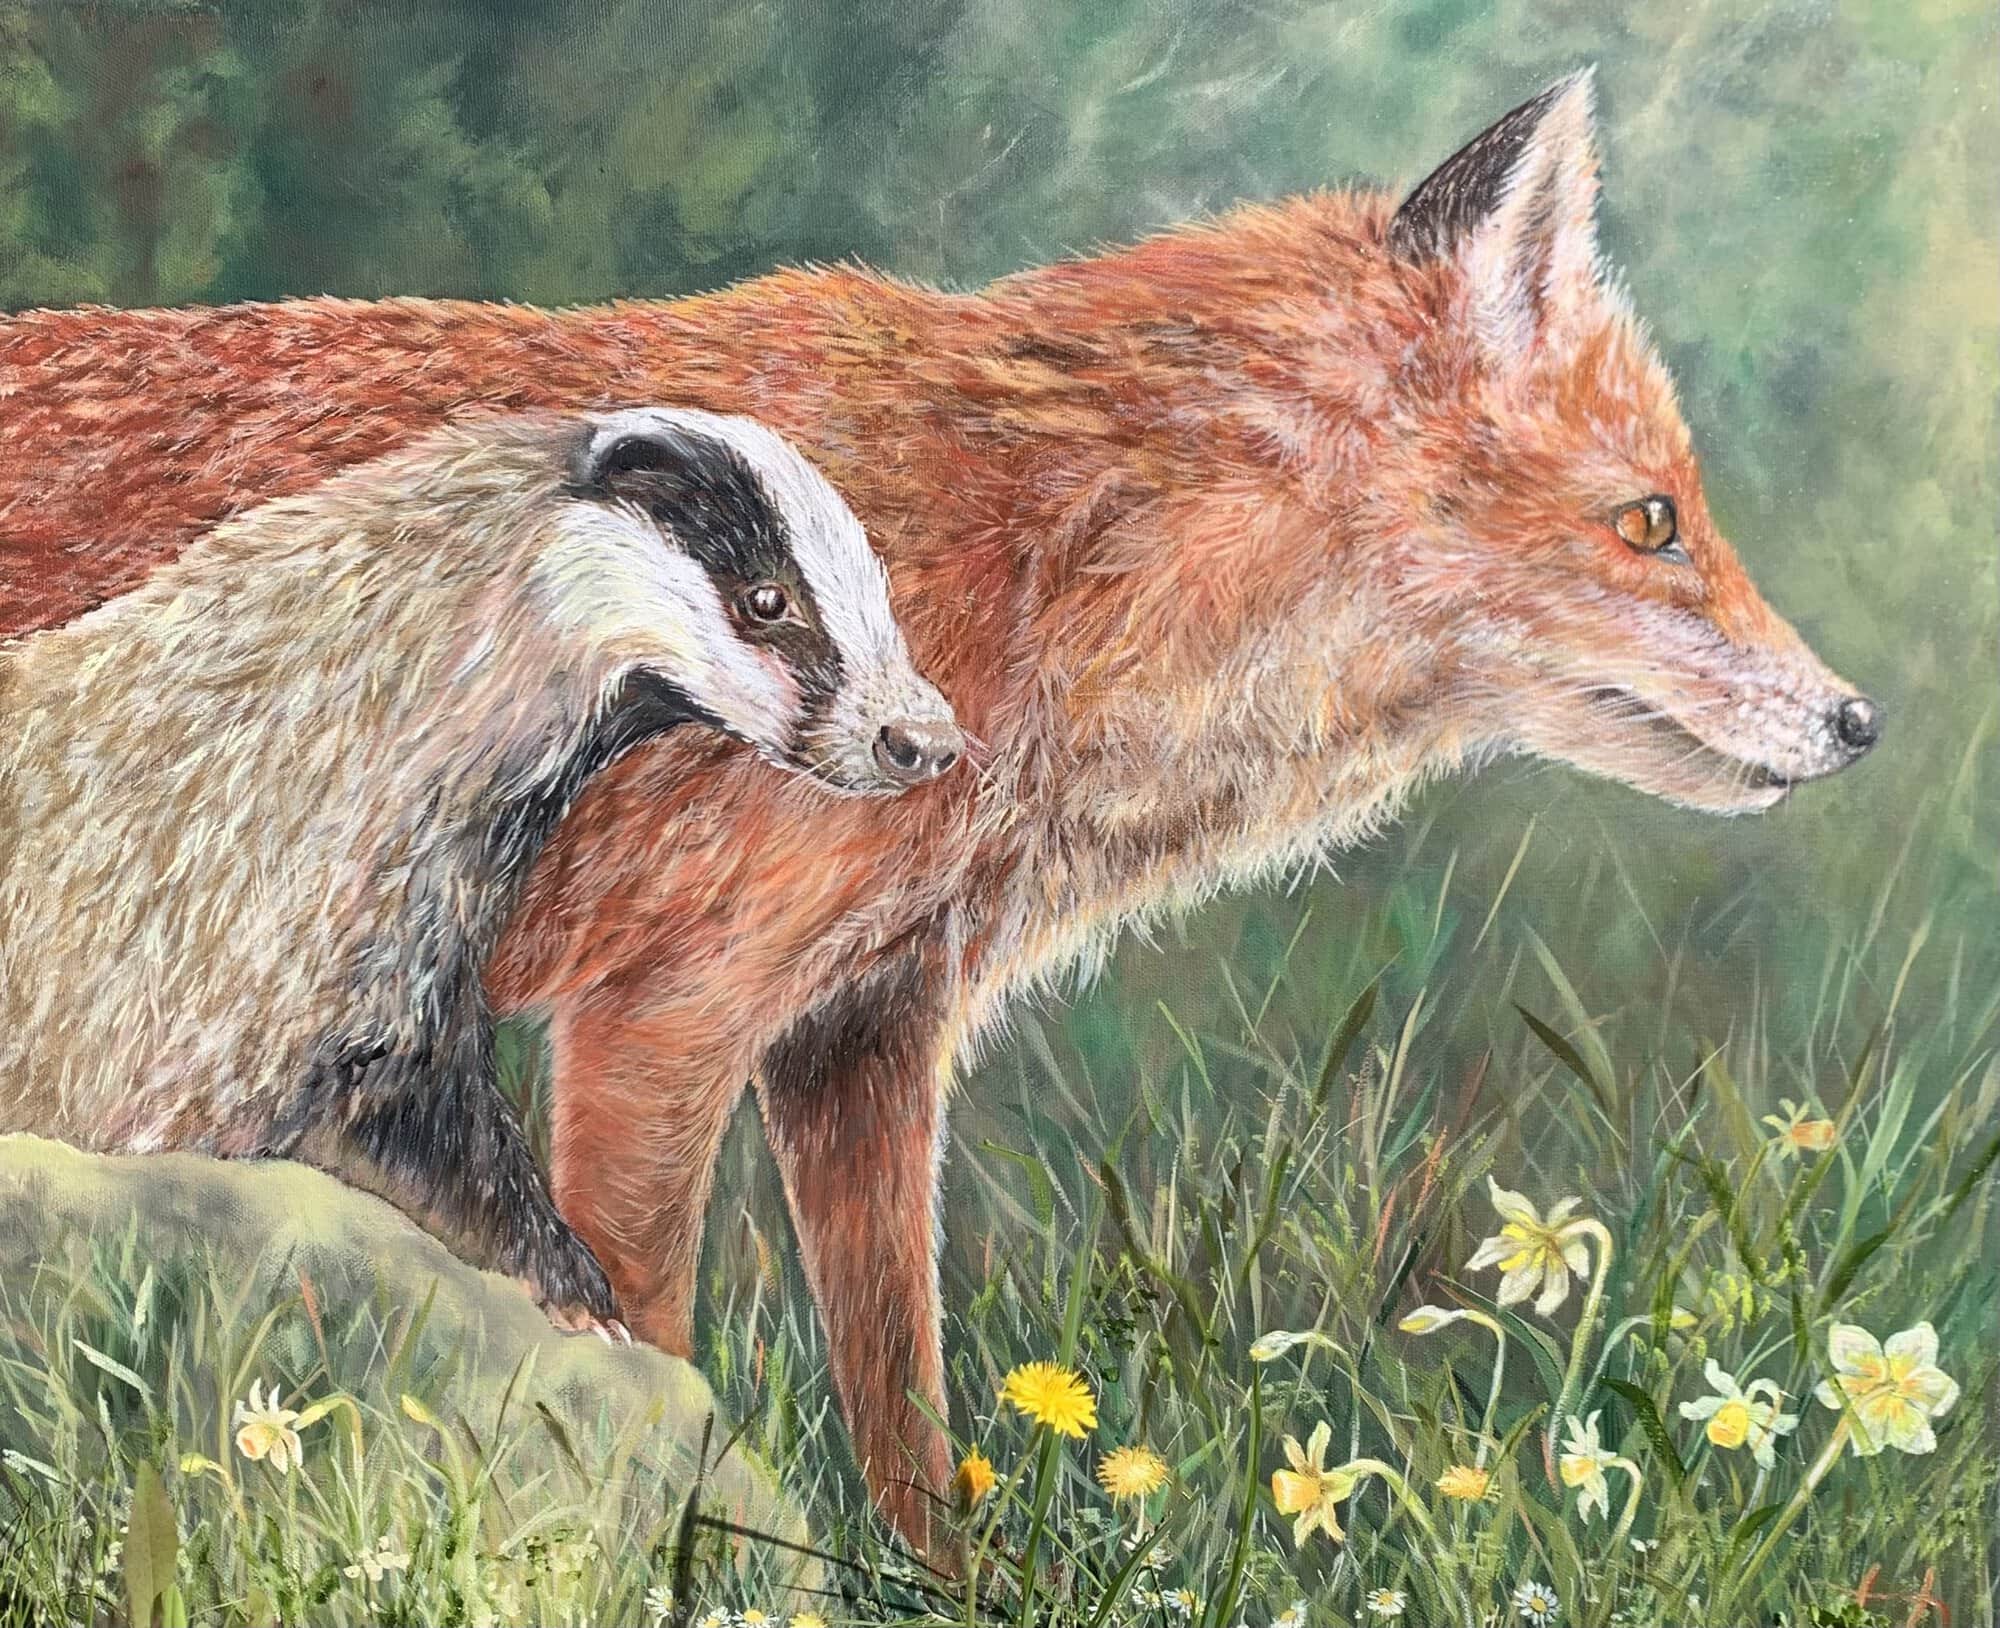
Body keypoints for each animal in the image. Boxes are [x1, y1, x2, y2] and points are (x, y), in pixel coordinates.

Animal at [0, 73, 1878, 1551]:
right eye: (1653, 523)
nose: (1860, 722)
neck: (1041, 567)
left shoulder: (864, 1031)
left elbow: (903, 1407)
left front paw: (941, 1584)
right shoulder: (656, 1021)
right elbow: (652, 1347)